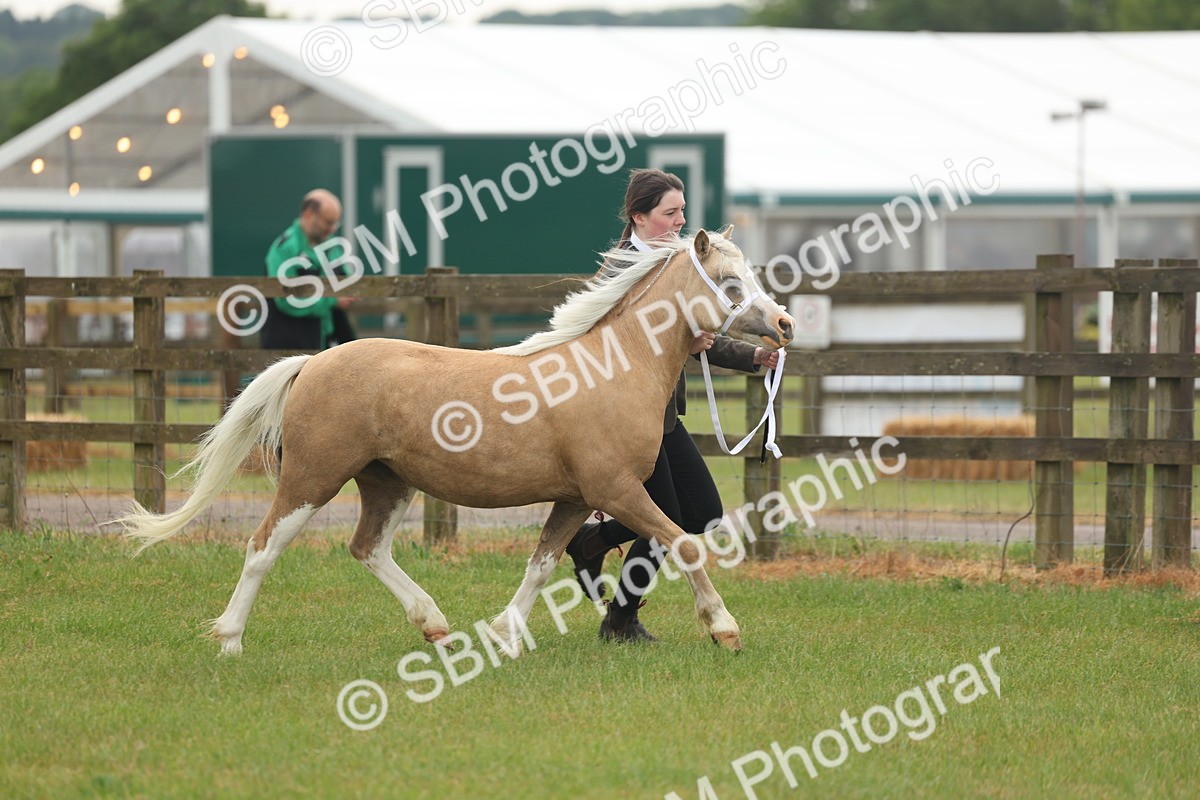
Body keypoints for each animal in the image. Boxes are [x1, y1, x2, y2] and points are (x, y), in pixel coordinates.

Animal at [116, 228, 795, 656]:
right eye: (731, 283)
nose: (785, 325)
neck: (611, 368)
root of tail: (312, 363)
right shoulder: (617, 490)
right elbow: (684, 541)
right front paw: (724, 629)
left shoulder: (577, 497)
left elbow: (542, 562)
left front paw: (504, 635)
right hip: (313, 478)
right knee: (263, 546)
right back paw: (229, 639)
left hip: (387, 482)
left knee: (367, 549)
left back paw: (436, 626)